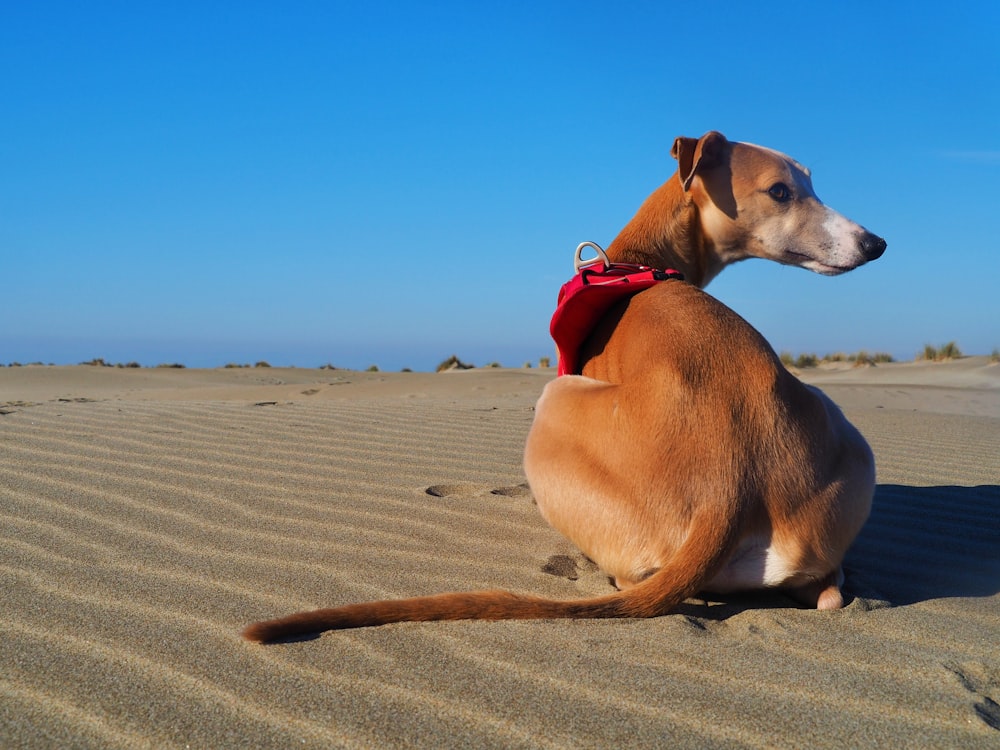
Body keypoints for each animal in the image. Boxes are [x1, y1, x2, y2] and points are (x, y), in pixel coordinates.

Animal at [242, 132, 884, 644]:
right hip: (846, 437)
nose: (875, 243)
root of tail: (730, 489)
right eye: (781, 191)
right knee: (830, 589)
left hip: (553, 407)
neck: (637, 261)